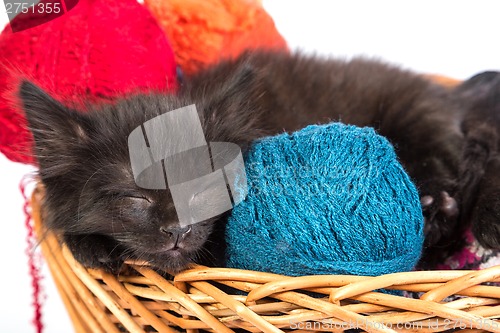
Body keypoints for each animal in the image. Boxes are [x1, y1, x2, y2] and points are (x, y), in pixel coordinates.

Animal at [22, 50, 500, 272]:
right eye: (133, 197)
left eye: (203, 188)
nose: (178, 229)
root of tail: (447, 95)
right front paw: (91, 246)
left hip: (418, 121)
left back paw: (438, 211)